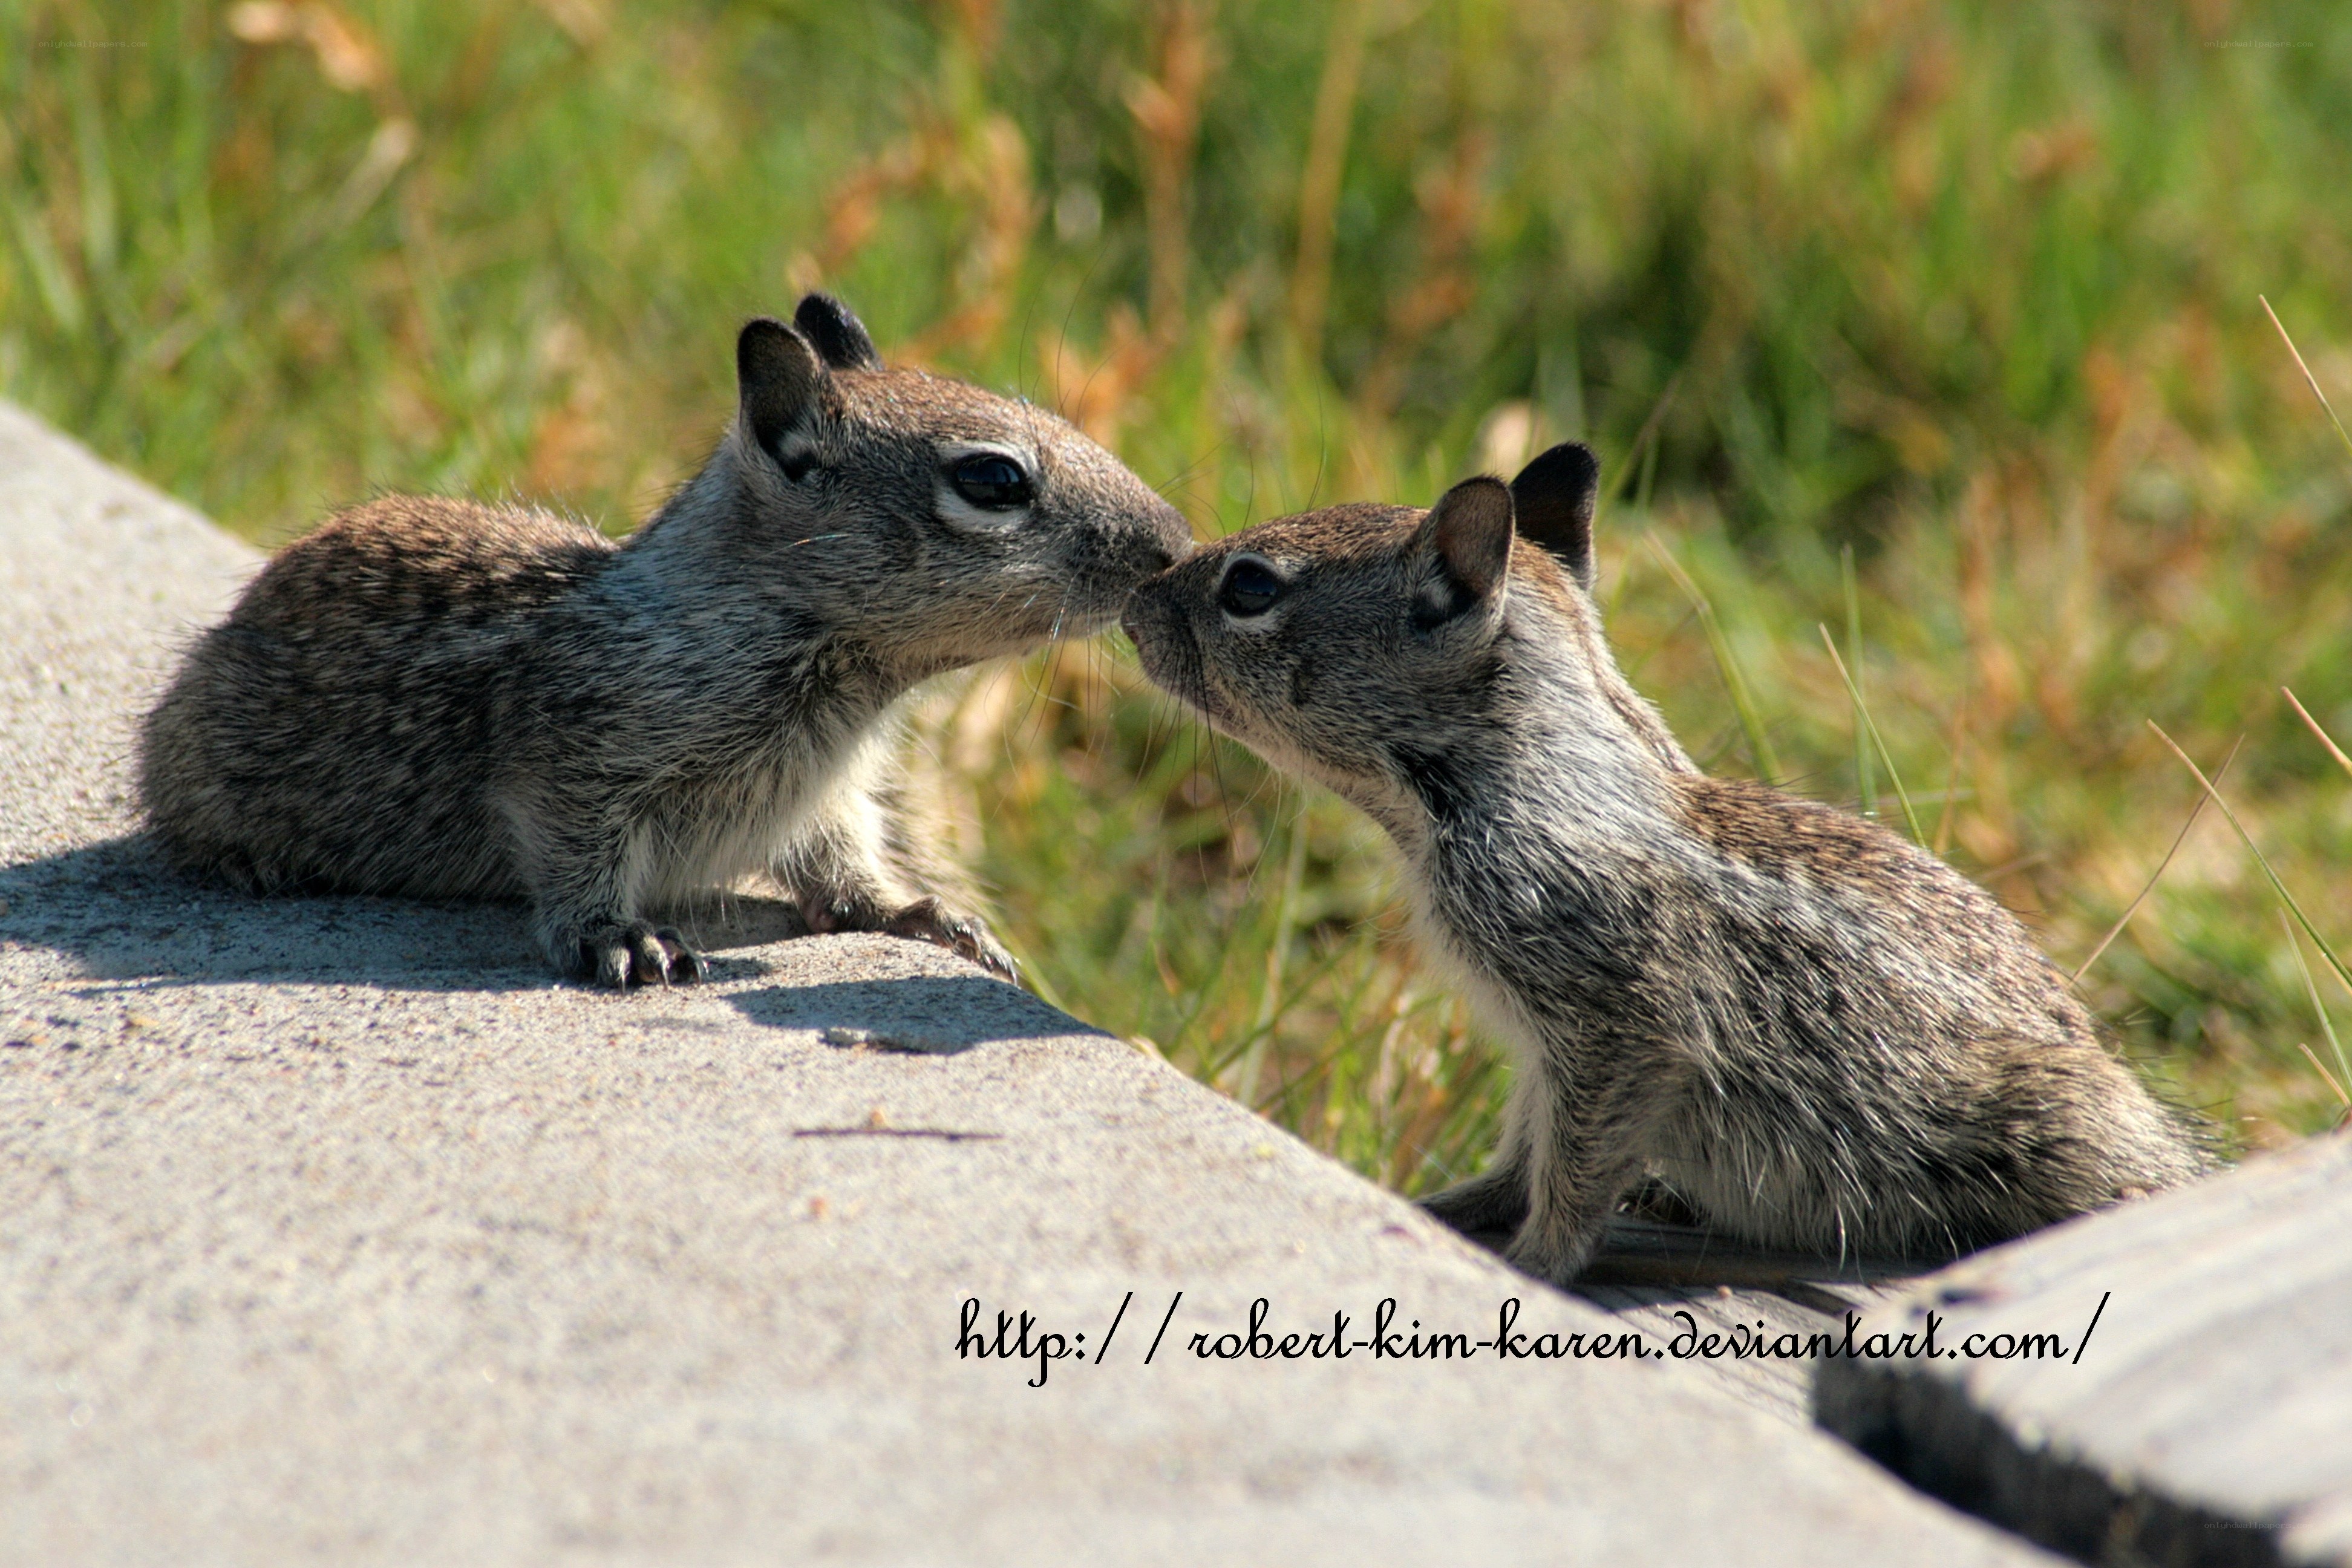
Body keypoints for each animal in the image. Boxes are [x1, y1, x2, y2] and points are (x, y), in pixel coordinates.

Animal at [139, 294, 1191, 989]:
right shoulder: (576, 756)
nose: (1175, 546)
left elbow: (843, 866)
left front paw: (923, 915)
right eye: (993, 480)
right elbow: (573, 852)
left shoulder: (828, 796)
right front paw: (618, 937)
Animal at [1121, 442, 2209, 1282]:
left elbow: (1575, 1166)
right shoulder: (1542, 1045)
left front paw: (1535, 1261)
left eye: (1250, 586)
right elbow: (1527, 1143)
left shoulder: (1618, 1026)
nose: (1134, 602)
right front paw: (1458, 1206)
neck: (1533, 776)